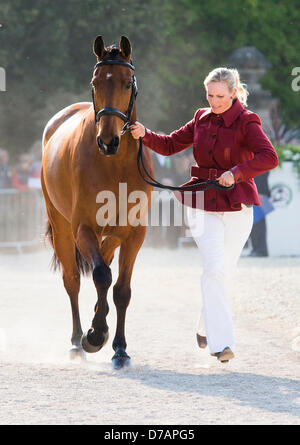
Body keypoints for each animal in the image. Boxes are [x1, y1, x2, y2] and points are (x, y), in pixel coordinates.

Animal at [41, 35, 154, 368]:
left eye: (128, 83)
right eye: (95, 82)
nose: (107, 141)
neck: (114, 165)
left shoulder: (134, 233)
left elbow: (121, 290)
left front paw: (120, 348)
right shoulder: (83, 229)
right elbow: (101, 275)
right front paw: (95, 335)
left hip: (113, 235)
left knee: (104, 260)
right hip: (62, 227)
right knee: (73, 280)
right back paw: (77, 341)